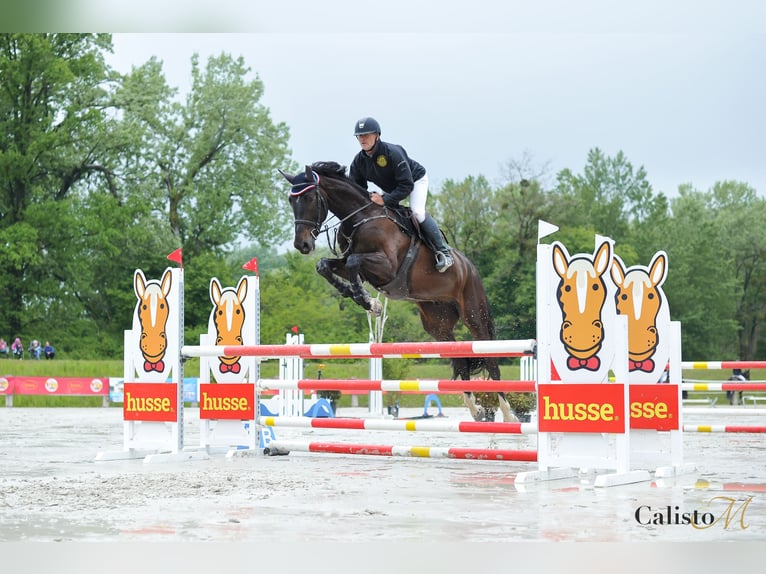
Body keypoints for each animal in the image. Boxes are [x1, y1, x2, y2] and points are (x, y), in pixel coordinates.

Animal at [279, 161, 516, 422]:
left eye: (310, 198)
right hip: (437, 324)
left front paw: (368, 302)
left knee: (491, 359)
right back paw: (475, 410)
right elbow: (325, 265)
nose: (302, 245)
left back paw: (509, 414)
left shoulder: (386, 267)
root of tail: (470, 267)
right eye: (291, 201)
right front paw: (364, 300)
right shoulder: (358, 267)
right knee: (460, 360)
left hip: (474, 313)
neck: (361, 218)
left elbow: (352, 262)